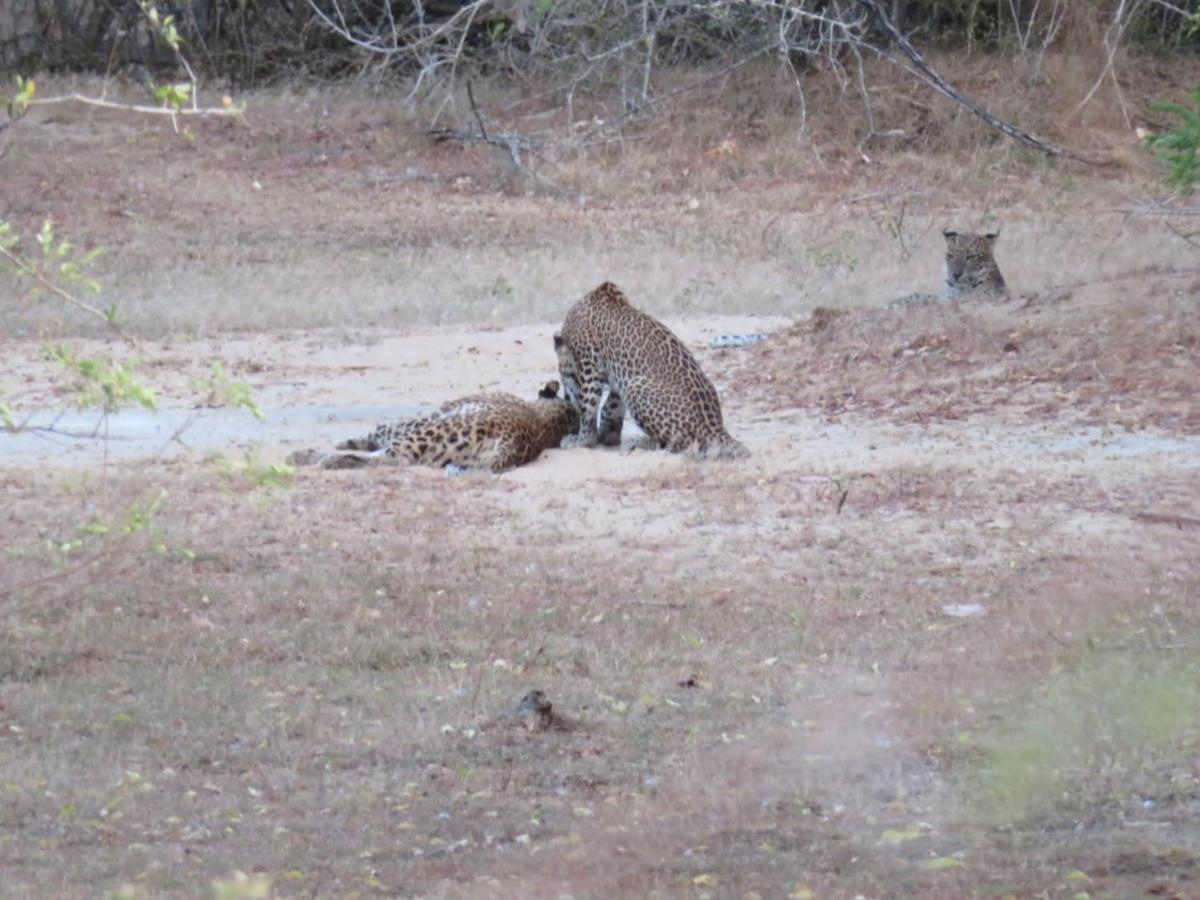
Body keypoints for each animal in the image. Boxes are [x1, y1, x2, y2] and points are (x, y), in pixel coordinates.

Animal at [285, 381, 576, 475]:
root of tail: (513, 444)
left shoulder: (427, 419)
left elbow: (377, 431)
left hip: (429, 433)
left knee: (390, 459)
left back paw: (318, 459)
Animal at [554, 282, 744, 460]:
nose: (565, 397)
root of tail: (716, 427)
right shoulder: (618, 375)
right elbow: (611, 405)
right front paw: (606, 434)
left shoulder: (589, 365)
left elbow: (588, 406)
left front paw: (582, 440)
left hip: (636, 385)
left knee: (674, 444)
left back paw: (636, 443)